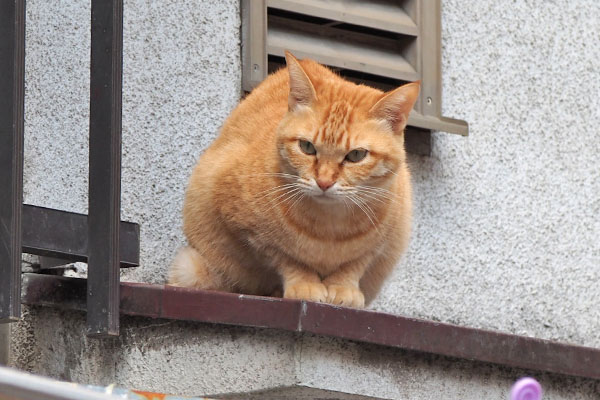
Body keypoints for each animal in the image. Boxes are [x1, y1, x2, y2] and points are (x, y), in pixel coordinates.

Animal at [170, 50, 418, 306]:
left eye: (356, 155)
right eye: (307, 147)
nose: (324, 182)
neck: (329, 225)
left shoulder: (383, 242)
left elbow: (354, 264)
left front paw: (342, 287)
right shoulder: (253, 233)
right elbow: (288, 258)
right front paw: (305, 283)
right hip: (193, 267)